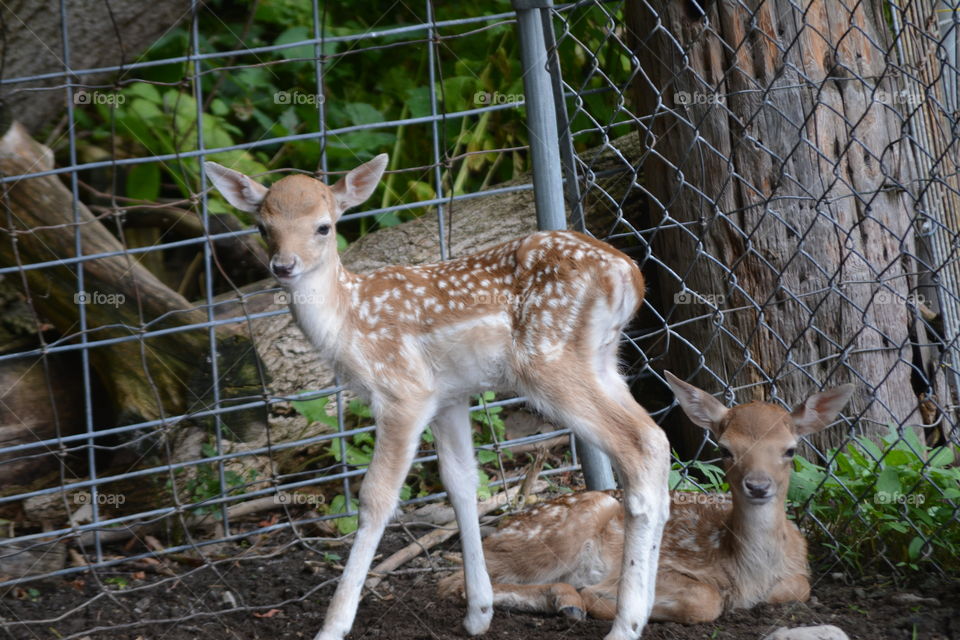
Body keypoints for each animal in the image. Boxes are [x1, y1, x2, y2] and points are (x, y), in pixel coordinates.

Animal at [204, 154, 671, 640]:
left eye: (324, 227)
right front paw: (478, 613)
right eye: (263, 226)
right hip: (602, 363)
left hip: (549, 362)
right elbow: (462, 483)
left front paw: (332, 626)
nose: (283, 265)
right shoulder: (450, 396)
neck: (349, 324)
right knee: (656, 440)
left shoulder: (403, 391)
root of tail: (630, 276)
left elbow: (376, 498)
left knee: (638, 447)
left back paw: (625, 624)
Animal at [439, 372, 854, 625]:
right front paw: (603, 601)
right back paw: (568, 598)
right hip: (565, 526)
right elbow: (705, 600)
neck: (747, 570)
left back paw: (566, 601)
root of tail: (499, 531)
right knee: (454, 582)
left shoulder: (799, 572)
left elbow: (798, 588)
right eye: (725, 449)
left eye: (790, 450)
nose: (758, 485)